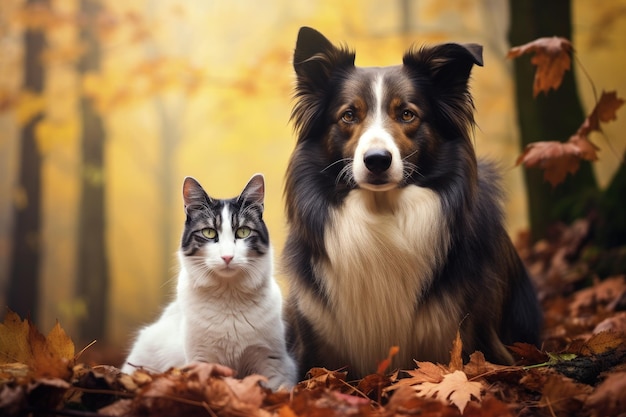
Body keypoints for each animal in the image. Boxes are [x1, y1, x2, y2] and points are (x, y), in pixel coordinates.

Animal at [123, 174, 298, 388]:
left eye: (243, 232)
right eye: (209, 233)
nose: (227, 257)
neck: (229, 297)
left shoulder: (274, 362)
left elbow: (279, 390)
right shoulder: (202, 360)